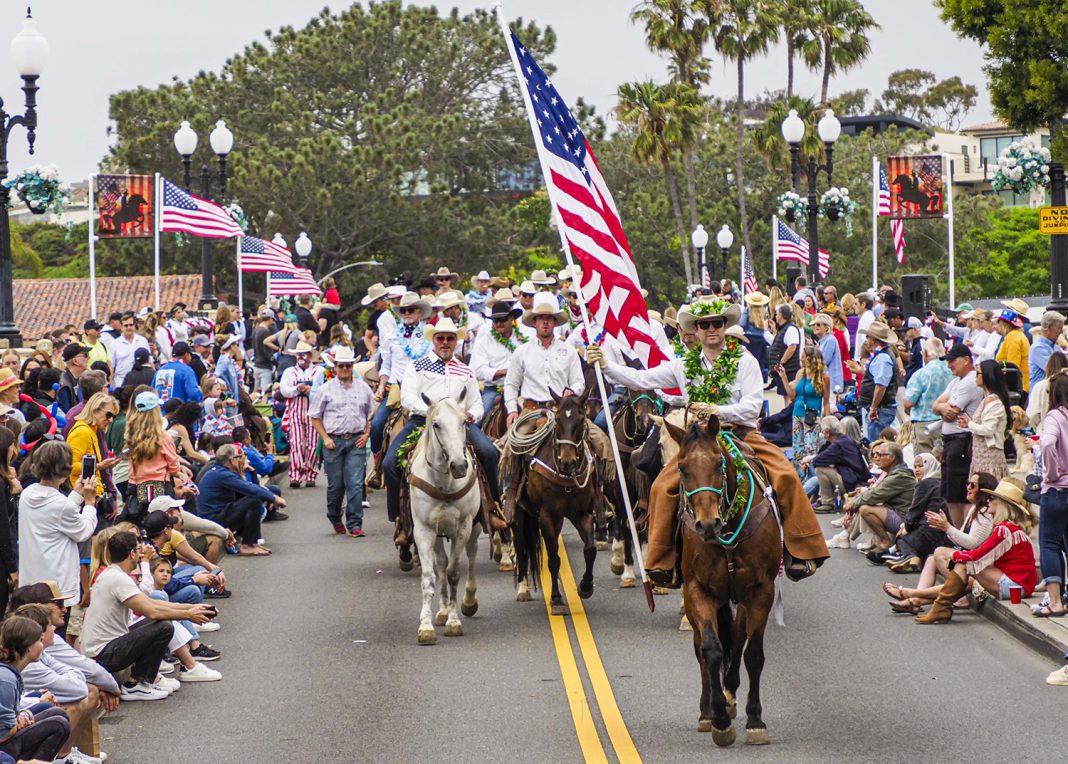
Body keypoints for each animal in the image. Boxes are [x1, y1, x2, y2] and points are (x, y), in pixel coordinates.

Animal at [405, 391, 482, 641]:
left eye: (464, 421)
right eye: (436, 424)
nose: (459, 466)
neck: (444, 483)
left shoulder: (463, 527)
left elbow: (454, 573)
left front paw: (454, 621)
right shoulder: (423, 530)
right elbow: (430, 575)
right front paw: (426, 625)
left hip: (475, 528)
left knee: (472, 555)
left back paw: (468, 601)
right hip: (437, 535)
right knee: (440, 565)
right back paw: (441, 610)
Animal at [510, 388, 602, 615]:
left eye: (581, 420)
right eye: (558, 420)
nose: (567, 462)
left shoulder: (582, 514)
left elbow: (590, 549)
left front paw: (585, 586)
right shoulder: (547, 517)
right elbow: (553, 559)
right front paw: (557, 599)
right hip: (520, 514)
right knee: (521, 547)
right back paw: (523, 589)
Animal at [666, 414, 786, 752]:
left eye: (719, 462)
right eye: (682, 467)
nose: (707, 525)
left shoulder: (761, 591)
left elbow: (752, 653)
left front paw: (755, 720)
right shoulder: (698, 590)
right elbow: (711, 649)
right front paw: (719, 720)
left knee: (738, 637)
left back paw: (731, 695)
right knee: (705, 647)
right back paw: (708, 712)